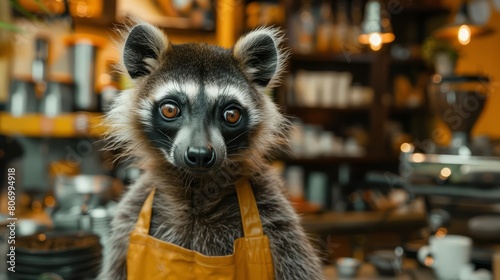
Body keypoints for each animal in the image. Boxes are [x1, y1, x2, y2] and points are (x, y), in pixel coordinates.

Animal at [99, 22, 322, 280]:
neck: (197, 188)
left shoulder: (274, 214)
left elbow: (298, 267)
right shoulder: (130, 216)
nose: (199, 155)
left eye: (231, 114)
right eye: (169, 110)